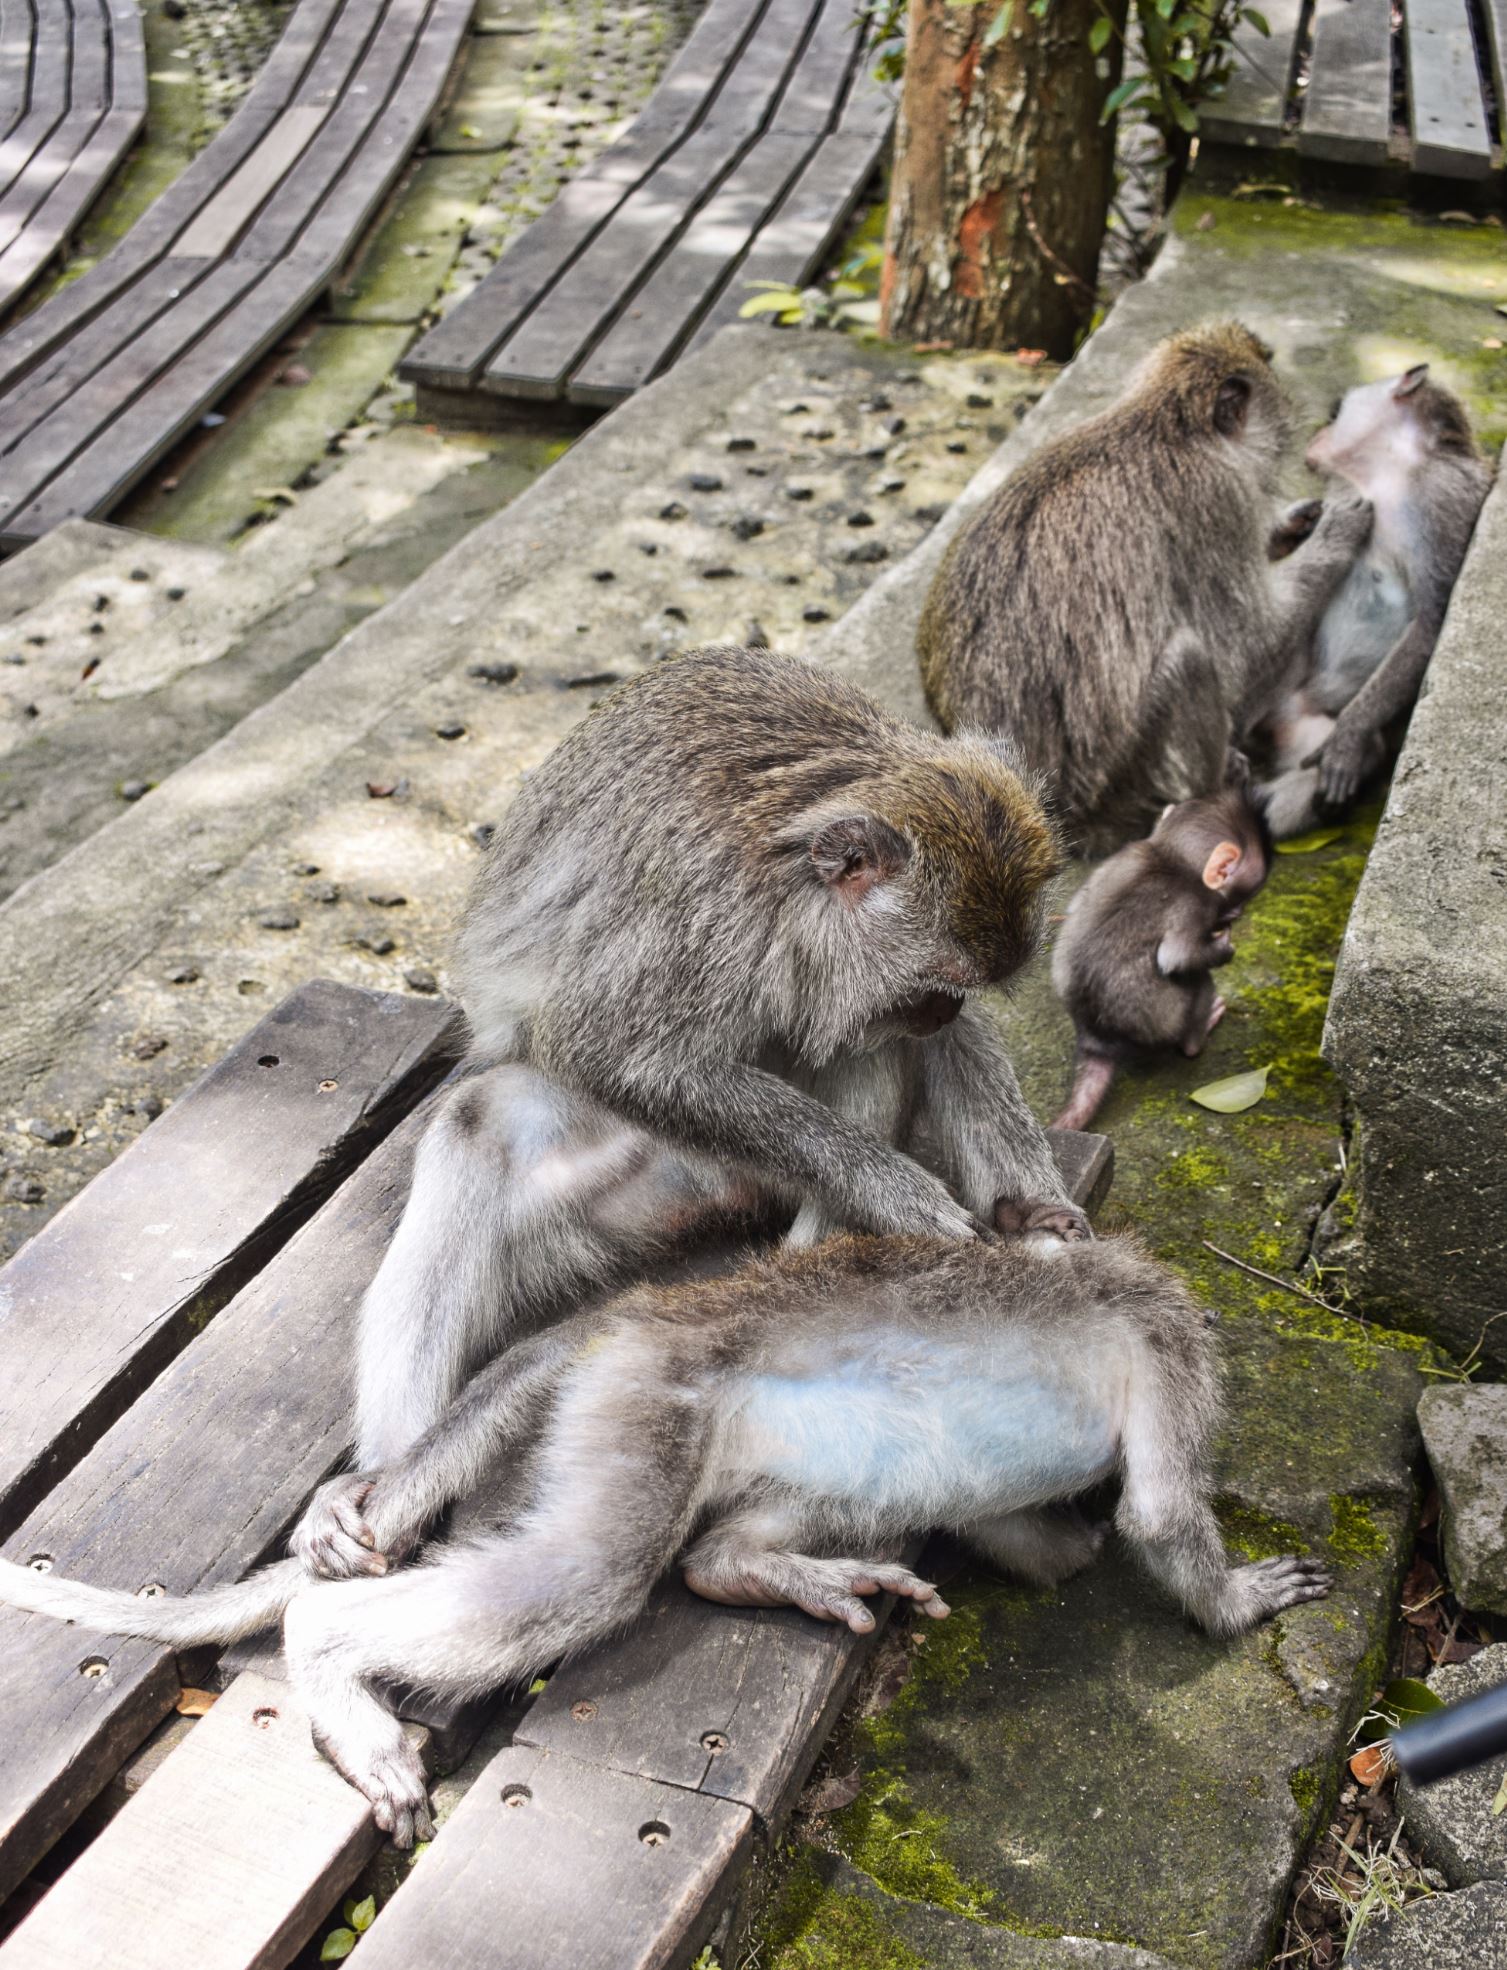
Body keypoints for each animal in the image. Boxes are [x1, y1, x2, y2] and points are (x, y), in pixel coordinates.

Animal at [0, 1229, 1332, 1846]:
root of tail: (629, 1317)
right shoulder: (1167, 1331)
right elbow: (1154, 1513)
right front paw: (1235, 1598)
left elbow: (1032, 1538)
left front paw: (1061, 1543)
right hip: (648, 1399)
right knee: (592, 1572)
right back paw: (338, 1666)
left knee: (793, 1508)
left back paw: (759, 1567)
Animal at [308, 645, 1088, 1500]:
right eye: (932, 985)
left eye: (956, 990)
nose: (941, 1012)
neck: (792, 890)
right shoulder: (703, 916)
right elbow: (611, 1054)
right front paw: (895, 1191)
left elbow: (925, 1047)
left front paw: (1033, 1206)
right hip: (645, 1180)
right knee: (481, 1123)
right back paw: (390, 1474)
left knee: (867, 1049)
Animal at [916, 321, 1375, 854]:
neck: (1164, 424)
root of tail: (1066, 818)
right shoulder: (1214, 498)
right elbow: (1246, 647)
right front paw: (1335, 531)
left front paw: (1291, 525)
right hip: (1125, 782)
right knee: (1188, 658)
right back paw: (1214, 783)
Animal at [1049, 773, 1272, 1131]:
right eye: (1240, 901)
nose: (1236, 914)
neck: (1170, 855)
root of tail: (1095, 1036)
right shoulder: (1194, 905)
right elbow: (1177, 956)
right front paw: (1224, 948)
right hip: (1162, 1019)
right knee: (1197, 980)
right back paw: (1197, 1036)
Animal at [1258, 365, 1493, 838]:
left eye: (1336, 411)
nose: (1317, 435)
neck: (1387, 474)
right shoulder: (1342, 493)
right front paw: (1292, 524)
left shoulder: (1443, 501)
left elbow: (1432, 619)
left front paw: (1351, 734)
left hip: (1311, 737)